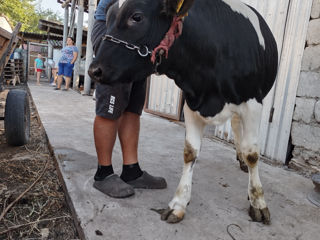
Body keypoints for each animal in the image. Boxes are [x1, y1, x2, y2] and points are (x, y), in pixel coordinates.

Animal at [89, 0, 278, 225]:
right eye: (107, 17)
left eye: (136, 17)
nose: (94, 70)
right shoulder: (191, 103)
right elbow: (190, 152)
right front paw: (178, 204)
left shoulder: (252, 103)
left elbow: (253, 154)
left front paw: (258, 202)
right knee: (234, 124)